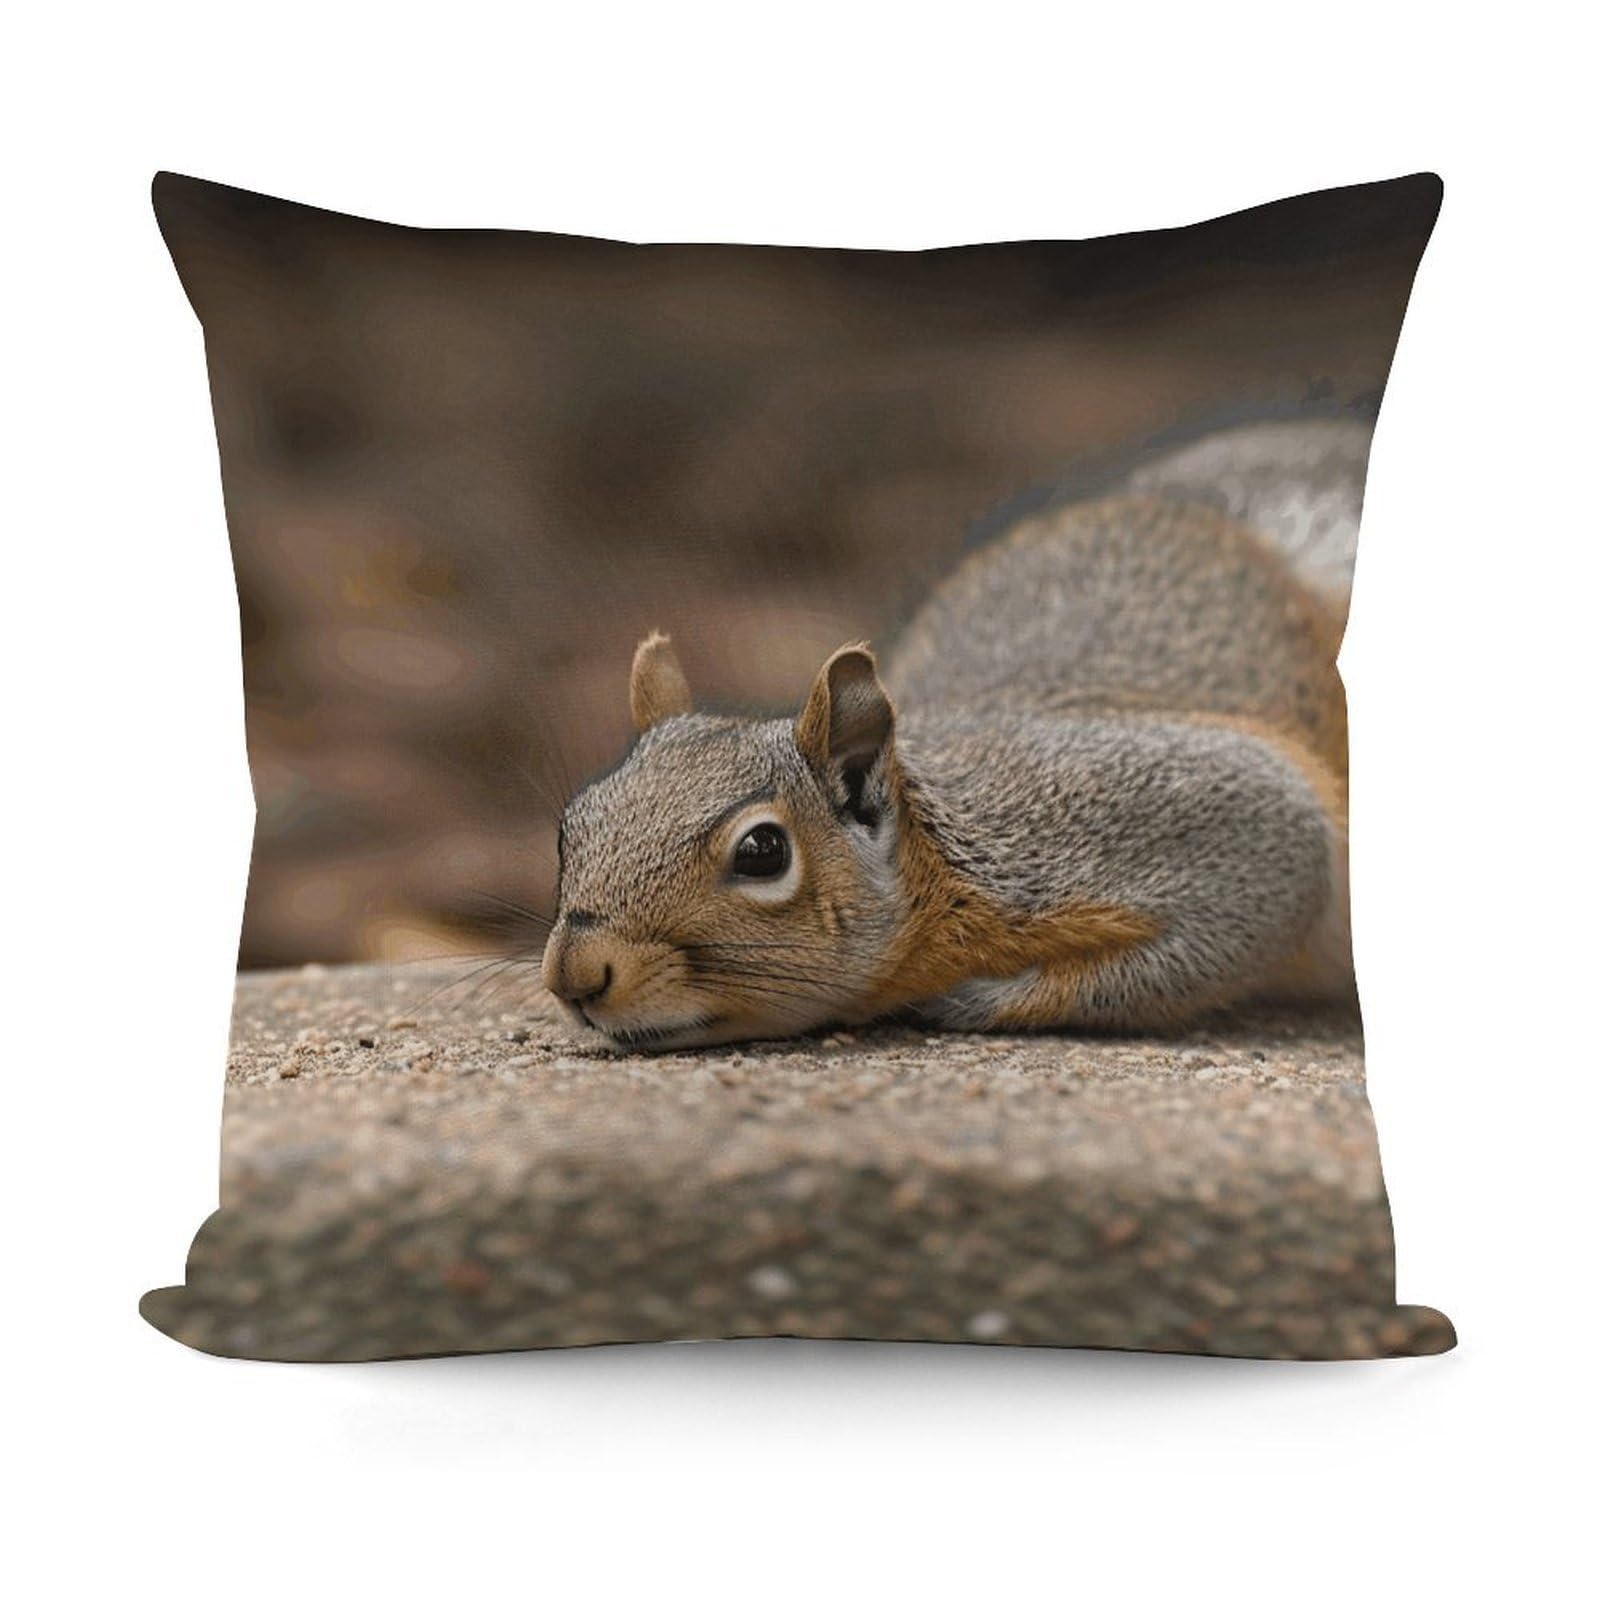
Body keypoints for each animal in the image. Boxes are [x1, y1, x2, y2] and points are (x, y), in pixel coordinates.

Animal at [540, 417, 1367, 1051]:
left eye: (763, 851)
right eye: (570, 826)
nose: (575, 975)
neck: (941, 862)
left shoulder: (1169, 812)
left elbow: (1256, 896)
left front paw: (973, 1000)